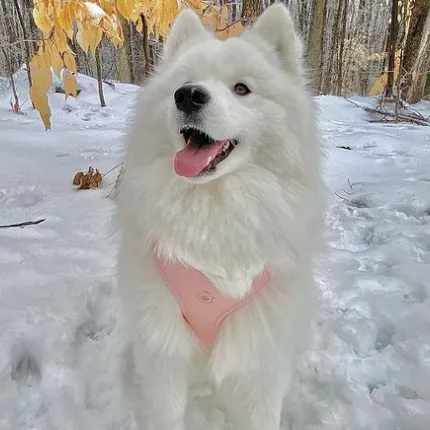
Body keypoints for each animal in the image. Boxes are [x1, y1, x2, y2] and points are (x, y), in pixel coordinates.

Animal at [117, 4, 322, 430]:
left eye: (241, 88)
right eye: (183, 84)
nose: (188, 95)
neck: (214, 208)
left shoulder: (259, 357)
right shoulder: (164, 352)